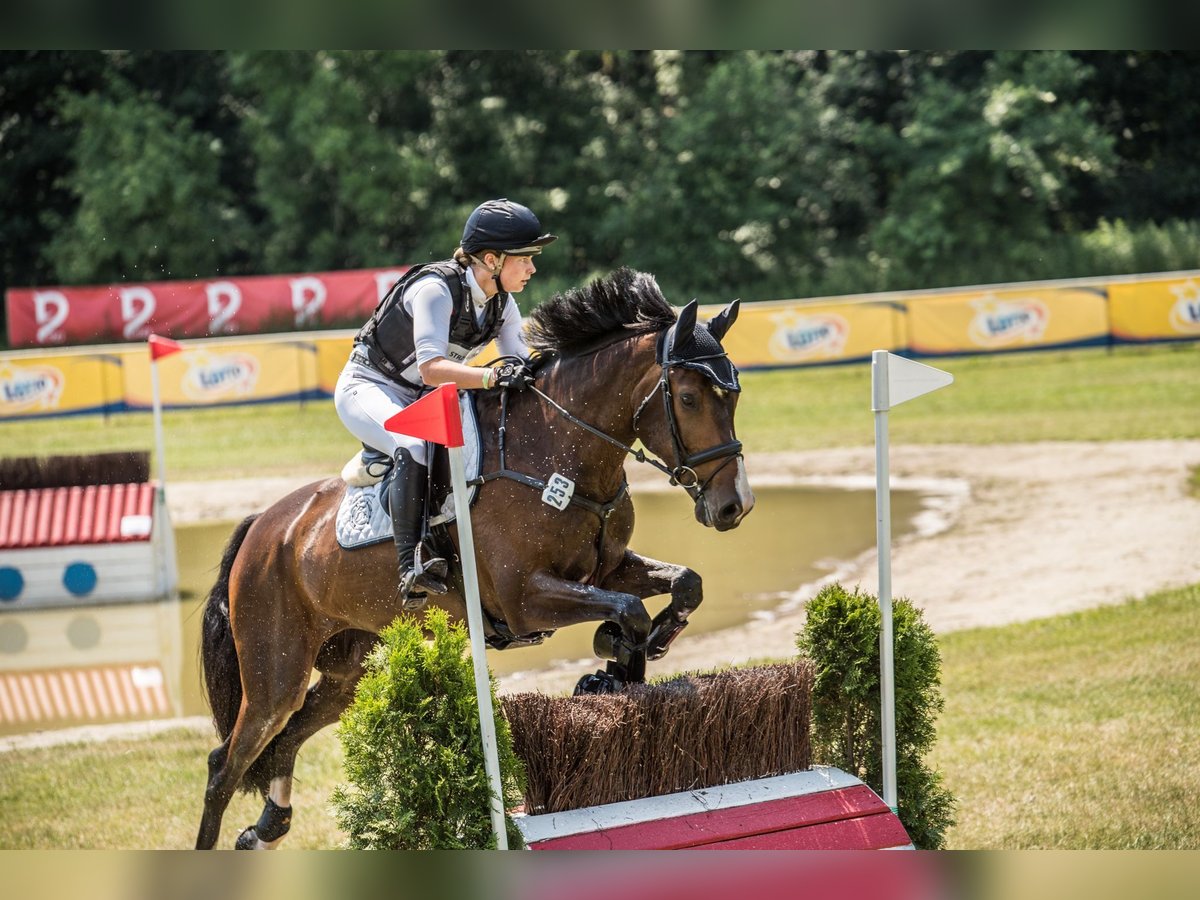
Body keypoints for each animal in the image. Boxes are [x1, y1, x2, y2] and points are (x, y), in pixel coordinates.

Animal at [196, 267, 758, 854]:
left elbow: (683, 583)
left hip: (347, 670)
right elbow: (628, 610)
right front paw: (615, 652)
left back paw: (267, 827)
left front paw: (641, 651)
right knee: (228, 762)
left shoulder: (606, 569)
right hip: (274, 669)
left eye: (734, 393)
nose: (734, 506)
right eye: (689, 397)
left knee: (288, 736)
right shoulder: (525, 599)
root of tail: (264, 526)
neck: (559, 451)